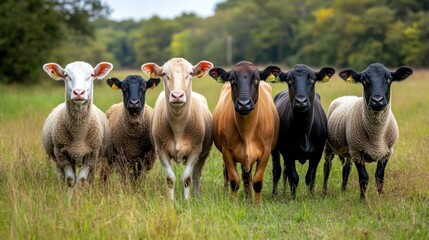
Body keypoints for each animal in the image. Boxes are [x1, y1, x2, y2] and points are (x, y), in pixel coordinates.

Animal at [41, 60, 112, 188]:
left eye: (92, 75)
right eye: (66, 75)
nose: (78, 92)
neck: (78, 135)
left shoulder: (91, 155)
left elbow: (81, 181)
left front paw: (81, 193)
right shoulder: (61, 154)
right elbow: (70, 180)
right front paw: (69, 193)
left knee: (90, 177)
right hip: (58, 158)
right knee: (62, 176)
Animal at [208, 61, 280, 203]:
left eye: (257, 79)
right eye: (231, 80)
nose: (244, 103)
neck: (247, 132)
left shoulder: (266, 151)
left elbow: (257, 181)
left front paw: (257, 205)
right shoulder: (227, 151)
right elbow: (234, 181)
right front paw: (234, 204)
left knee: (247, 177)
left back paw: (248, 198)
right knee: (228, 174)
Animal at [324, 62, 412, 200]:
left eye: (389, 78)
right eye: (364, 80)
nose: (377, 100)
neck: (376, 136)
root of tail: (346, 96)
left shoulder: (387, 153)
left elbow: (380, 176)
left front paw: (380, 197)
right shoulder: (357, 152)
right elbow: (363, 177)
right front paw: (363, 200)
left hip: (348, 150)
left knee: (346, 168)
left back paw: (343, 190)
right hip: (330, 147)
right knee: (327, 167)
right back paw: (324, 192)